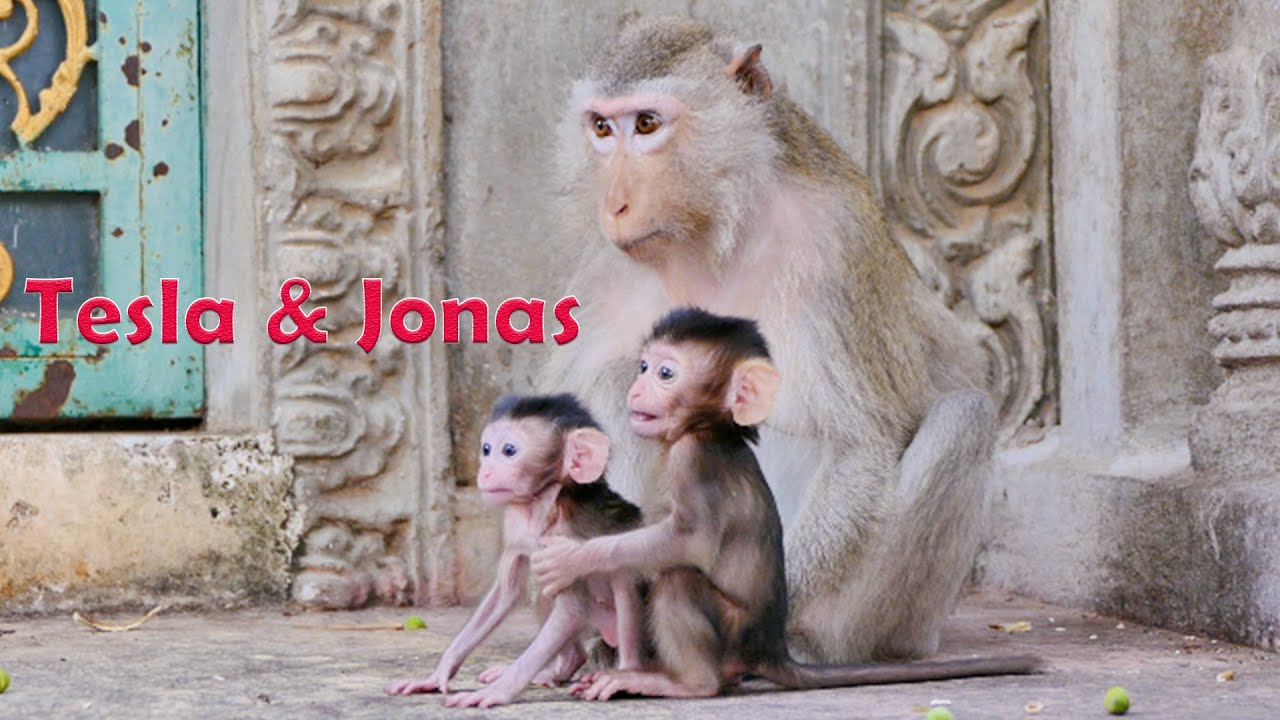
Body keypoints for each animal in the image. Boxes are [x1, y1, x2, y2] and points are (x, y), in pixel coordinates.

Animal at [384, 394, 646, 708]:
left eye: (509, 450)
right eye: (486, 449)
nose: (484, 471)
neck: (542, 506)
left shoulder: (564, 542)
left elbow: (570, 610)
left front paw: (497, 692)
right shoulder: (515, 523)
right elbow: (506, 592)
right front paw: (437, 675)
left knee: (623, 575)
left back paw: (627, 676)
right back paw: (559, 668)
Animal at [533, 308, 1040, 699]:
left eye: (665, 373)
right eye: (644, 367)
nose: (638, 389)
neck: (708, 427)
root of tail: (769, 651)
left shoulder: (692, 460)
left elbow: (686, 540)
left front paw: (577, 558)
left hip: (760, 634)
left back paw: (685, 681)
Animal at [538, 16, 998, 663]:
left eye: (647, 124)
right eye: (602, 128)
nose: (615, 203)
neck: (716, 233)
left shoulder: (831, 246)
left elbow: (856, 448)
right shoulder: (604, 274)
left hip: (887, 622)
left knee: (965, 418)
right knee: (615, 378)